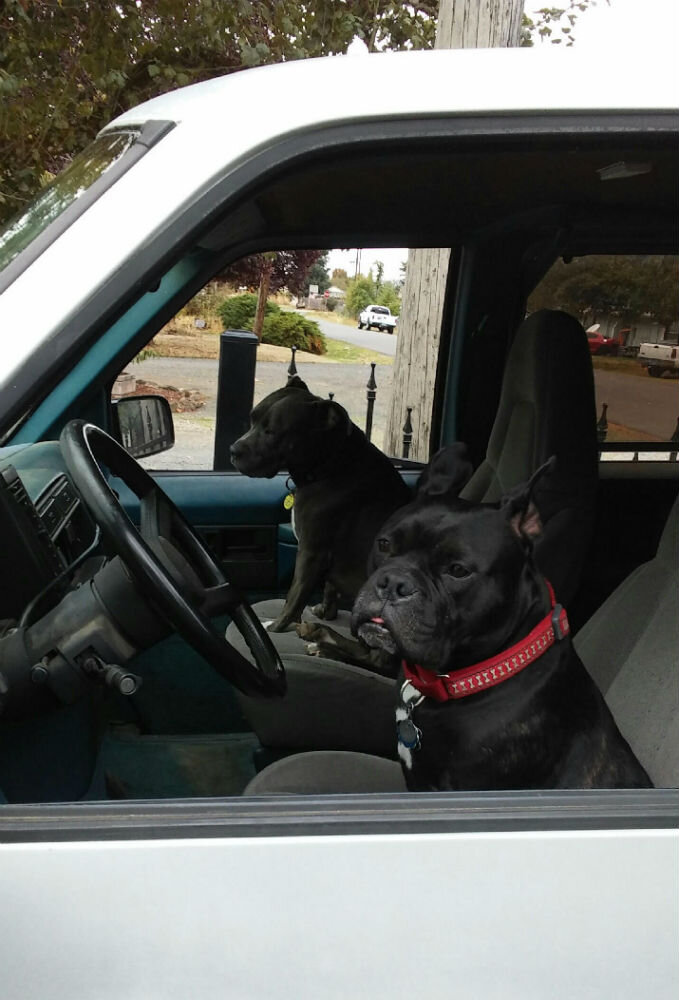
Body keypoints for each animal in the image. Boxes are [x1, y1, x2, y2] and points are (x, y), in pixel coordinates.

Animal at [230, 376, 411, 632]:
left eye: (272, 431)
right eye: (252, 418)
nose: (233, 450)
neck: (330, 464)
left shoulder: (311, 552)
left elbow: (294, 595)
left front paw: (276, 627)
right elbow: (329, 586)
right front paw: (326, 612)